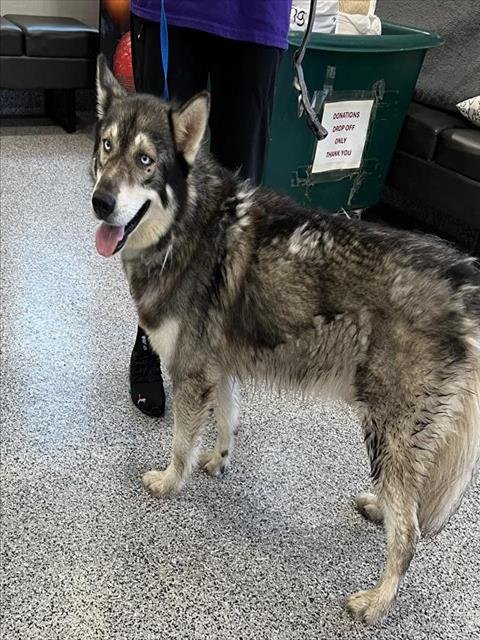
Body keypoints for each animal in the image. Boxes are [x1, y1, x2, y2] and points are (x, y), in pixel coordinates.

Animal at [91, 55, 480, 623]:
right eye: (106, 147)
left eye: (145, 160)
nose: (100, 202)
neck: (187, 227)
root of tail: (464, 282)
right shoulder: (218, 369)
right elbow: (226, 419)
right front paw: (219, 461)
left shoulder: (190, 374)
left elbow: (182, 440)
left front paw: (170, 481)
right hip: (395, 435)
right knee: (406, 503)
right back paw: (377, 507)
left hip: (387, 428)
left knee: (408, 534)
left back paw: (377, 601)